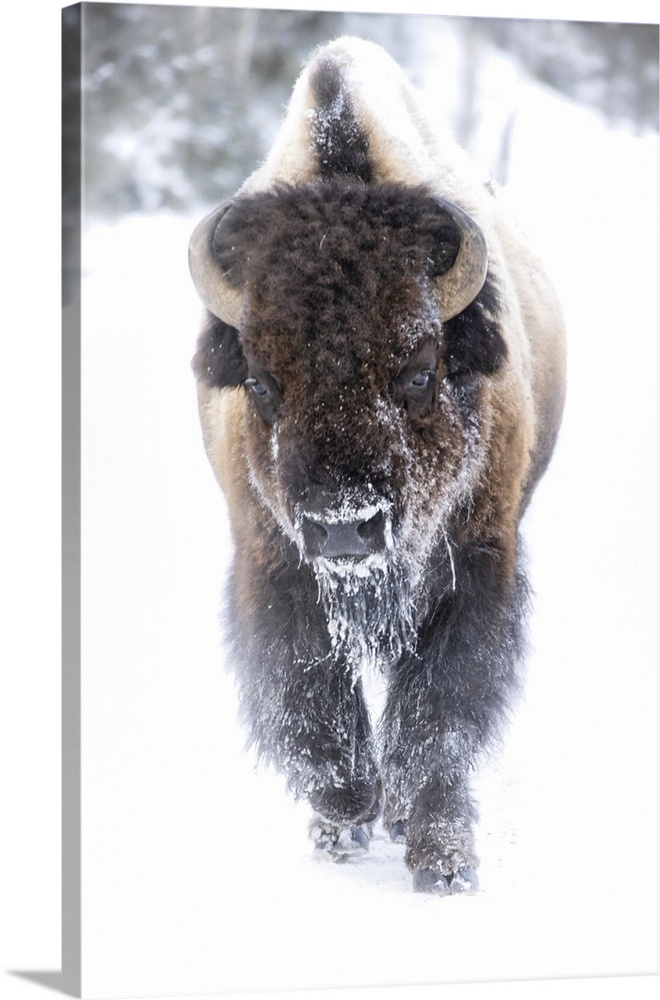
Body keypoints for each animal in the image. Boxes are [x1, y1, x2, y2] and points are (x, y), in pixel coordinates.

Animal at [189, 37, 566, 894]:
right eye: (261, 383)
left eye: (419, 371)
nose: (345, 528)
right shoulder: (273, 561)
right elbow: (309, 692)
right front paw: (345, 810)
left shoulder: (474, 563)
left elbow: (439, 711)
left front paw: (443, 860)